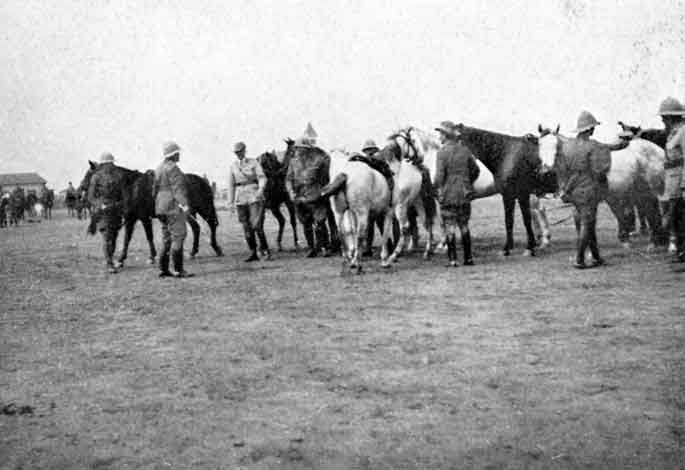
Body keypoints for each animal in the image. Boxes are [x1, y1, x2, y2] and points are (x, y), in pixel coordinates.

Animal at [452, 124, 548, 258]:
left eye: (457, 139)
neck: (507, 155)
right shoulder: (511, 195)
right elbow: (510, 220)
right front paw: (511, 248)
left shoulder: (520, 194)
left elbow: (524, 220)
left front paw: (527, 248)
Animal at [536, 125, 664, 250]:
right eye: (540, 145)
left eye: (556, 146)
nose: (546, 172)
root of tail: (659, 150)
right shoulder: (578, 203)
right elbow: (579, 222)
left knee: (651, 212)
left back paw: (653, 242)